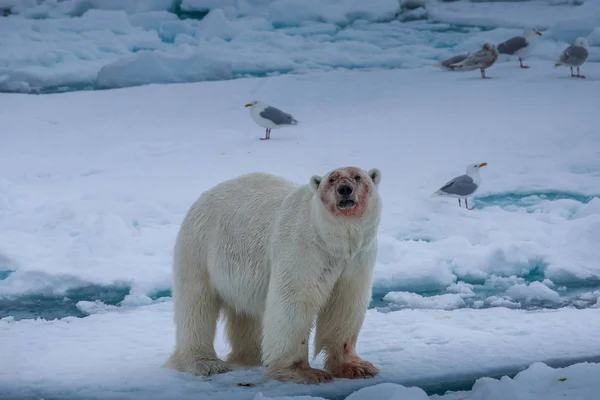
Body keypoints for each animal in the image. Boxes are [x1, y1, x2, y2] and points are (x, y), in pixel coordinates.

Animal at [165, 166, 380, 384]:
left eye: (358, 177)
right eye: (332, 179)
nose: (344, 189)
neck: (333, 242)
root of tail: (203, 197)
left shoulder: (357, 259)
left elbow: (346, 304)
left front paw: (356, 367)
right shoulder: (303, 249)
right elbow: (294, 301)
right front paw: (303, 372)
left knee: (247, 311)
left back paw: (252, 355)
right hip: (200, 247)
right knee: (196, 305)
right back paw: (205, 362)